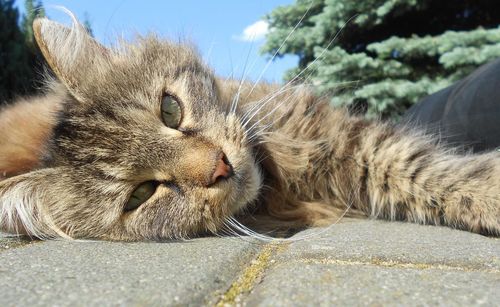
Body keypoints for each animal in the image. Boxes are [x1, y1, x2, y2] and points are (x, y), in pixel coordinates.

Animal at [0, 16, 498, 242]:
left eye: (170, 110)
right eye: (141, 195)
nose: (220, 166)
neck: (279, 186)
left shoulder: (341, 138)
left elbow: (429, 173)